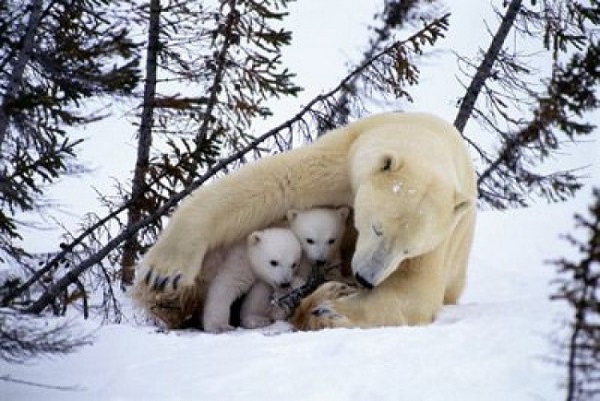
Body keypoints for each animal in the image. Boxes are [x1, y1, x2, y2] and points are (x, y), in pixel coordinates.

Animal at [134, 111, 476, 328]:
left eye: (408, 250)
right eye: (377, 228)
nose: (365, 279)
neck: (422, 134)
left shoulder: (444, 237)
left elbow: (414, 294)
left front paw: (329, 309)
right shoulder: (344, 160)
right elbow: (272, 184)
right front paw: (164, 273)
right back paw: (169, 301)